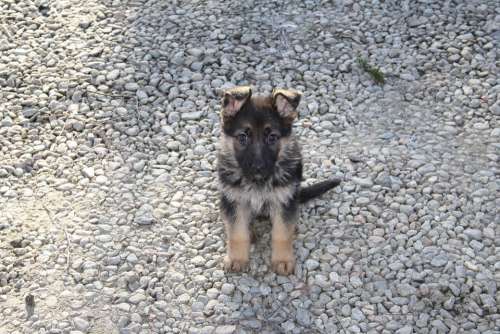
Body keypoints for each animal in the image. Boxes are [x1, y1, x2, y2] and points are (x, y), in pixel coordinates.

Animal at [218, 87, 340, 276]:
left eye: (272, 138)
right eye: (243, 137)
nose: (258, 167)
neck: (258, 182)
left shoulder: (284, 200)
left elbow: (282, 233)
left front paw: (282, 260)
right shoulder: (233, 200)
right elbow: (237, 232)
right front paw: (237, 258)